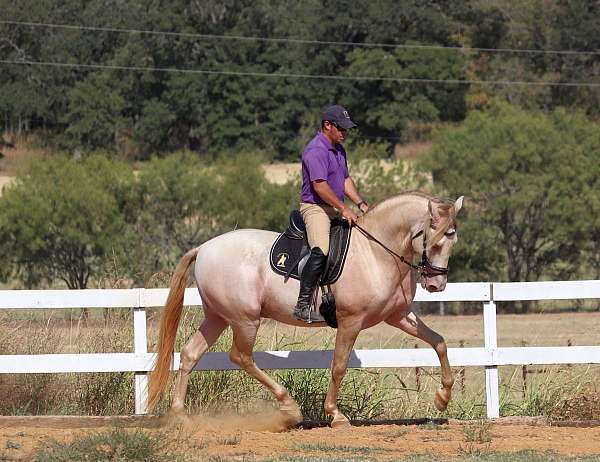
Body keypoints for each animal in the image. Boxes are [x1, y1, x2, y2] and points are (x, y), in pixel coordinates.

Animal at [149, 191, 464, 426]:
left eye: (452, 241)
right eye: (435, 242)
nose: (436, 285)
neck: (376, 252)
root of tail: (204, 248)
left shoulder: (398, 316)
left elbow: (439, 342)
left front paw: (442, 398)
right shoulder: (351, 321)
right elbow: (339, 365)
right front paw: (335, 414)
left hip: (218, 317)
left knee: (191, 354)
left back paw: (180, 414)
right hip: (245, 319)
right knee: (241, 356)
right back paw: (289, 406)